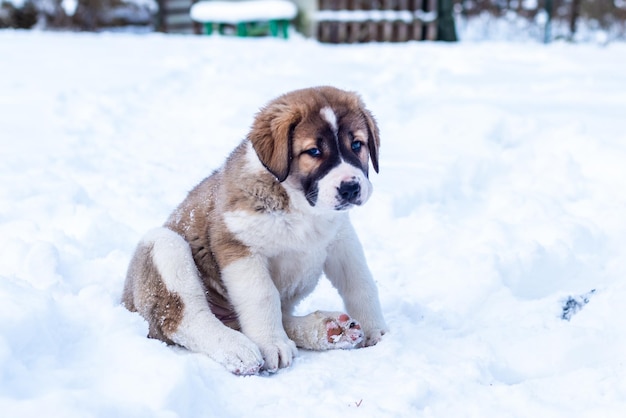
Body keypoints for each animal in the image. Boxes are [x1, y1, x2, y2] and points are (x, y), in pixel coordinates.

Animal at [121, 85, 386, 376]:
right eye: (314, 152)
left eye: (357, 145)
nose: (350, 187)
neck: (299, 205)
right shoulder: (240, 247)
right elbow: (262, 296)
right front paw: (272, 344)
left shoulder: (341, 239)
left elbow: (360, 282)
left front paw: (375, 329)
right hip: (165, 244)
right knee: (184, 318)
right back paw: (239, 349)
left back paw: (330, 329)